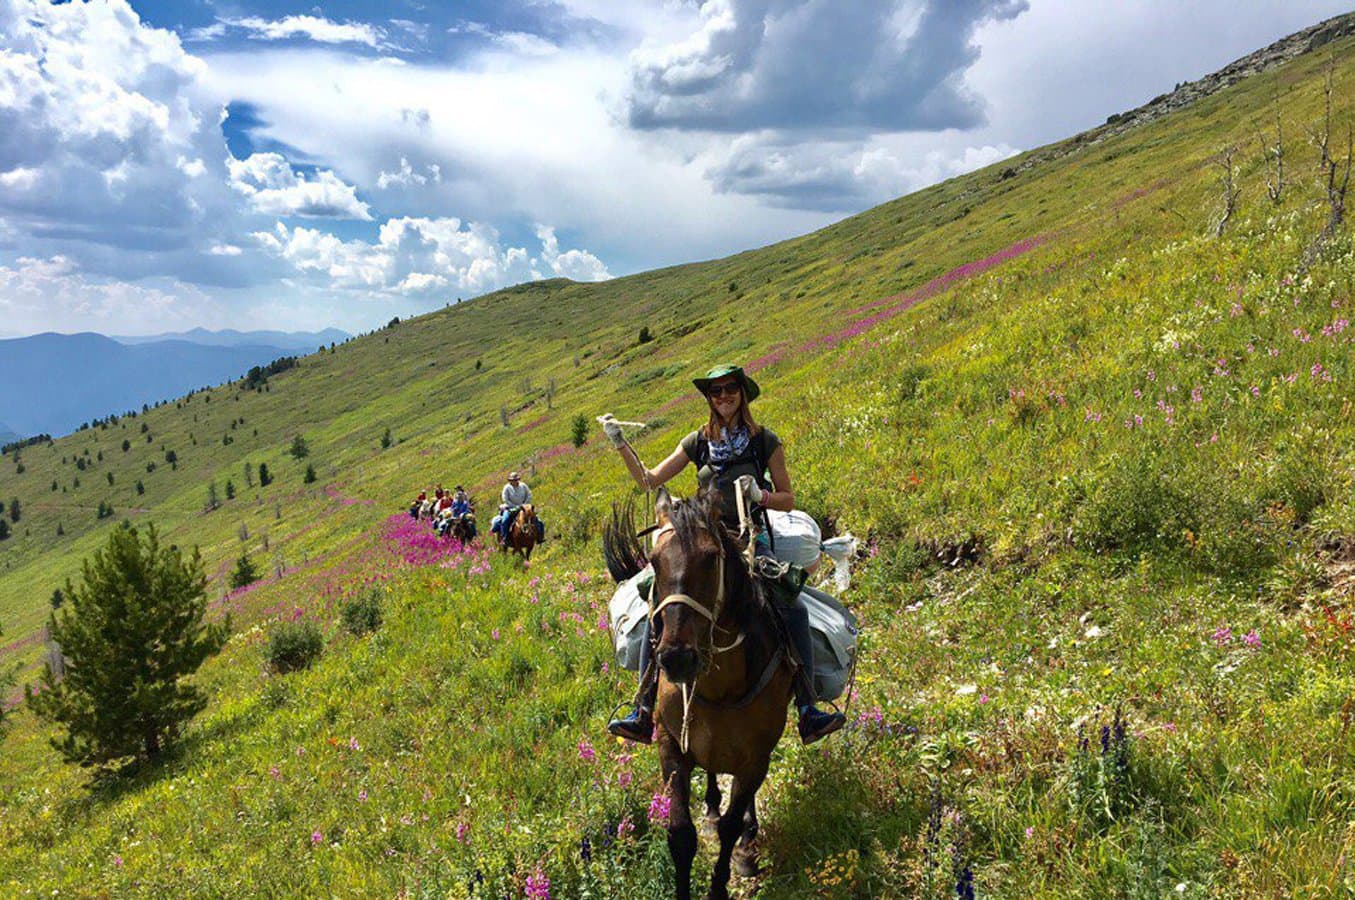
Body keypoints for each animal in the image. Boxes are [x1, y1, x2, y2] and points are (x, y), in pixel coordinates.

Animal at [604, 487, 791, 900]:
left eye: (710, 558)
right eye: (654, 561)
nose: (676, 658)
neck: (719, 688)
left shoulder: (755, 759)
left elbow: (731, 826)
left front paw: (726, 875)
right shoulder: (671, 747)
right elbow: (680, 834)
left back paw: (747, 844)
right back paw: (710, 808)